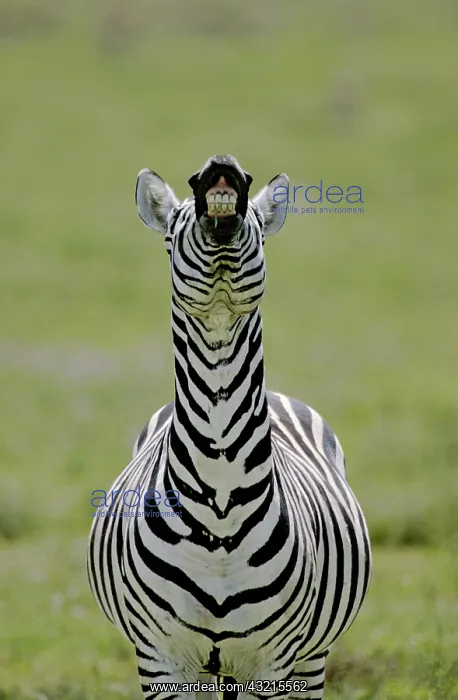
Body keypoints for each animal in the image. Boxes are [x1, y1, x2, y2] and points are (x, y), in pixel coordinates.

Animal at [87, 154, 371, 700]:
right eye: (170, 236)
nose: (221, 164)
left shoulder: (273, 664)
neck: (220, 506)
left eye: (259, 229)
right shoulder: (160, 660)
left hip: (310, 659)